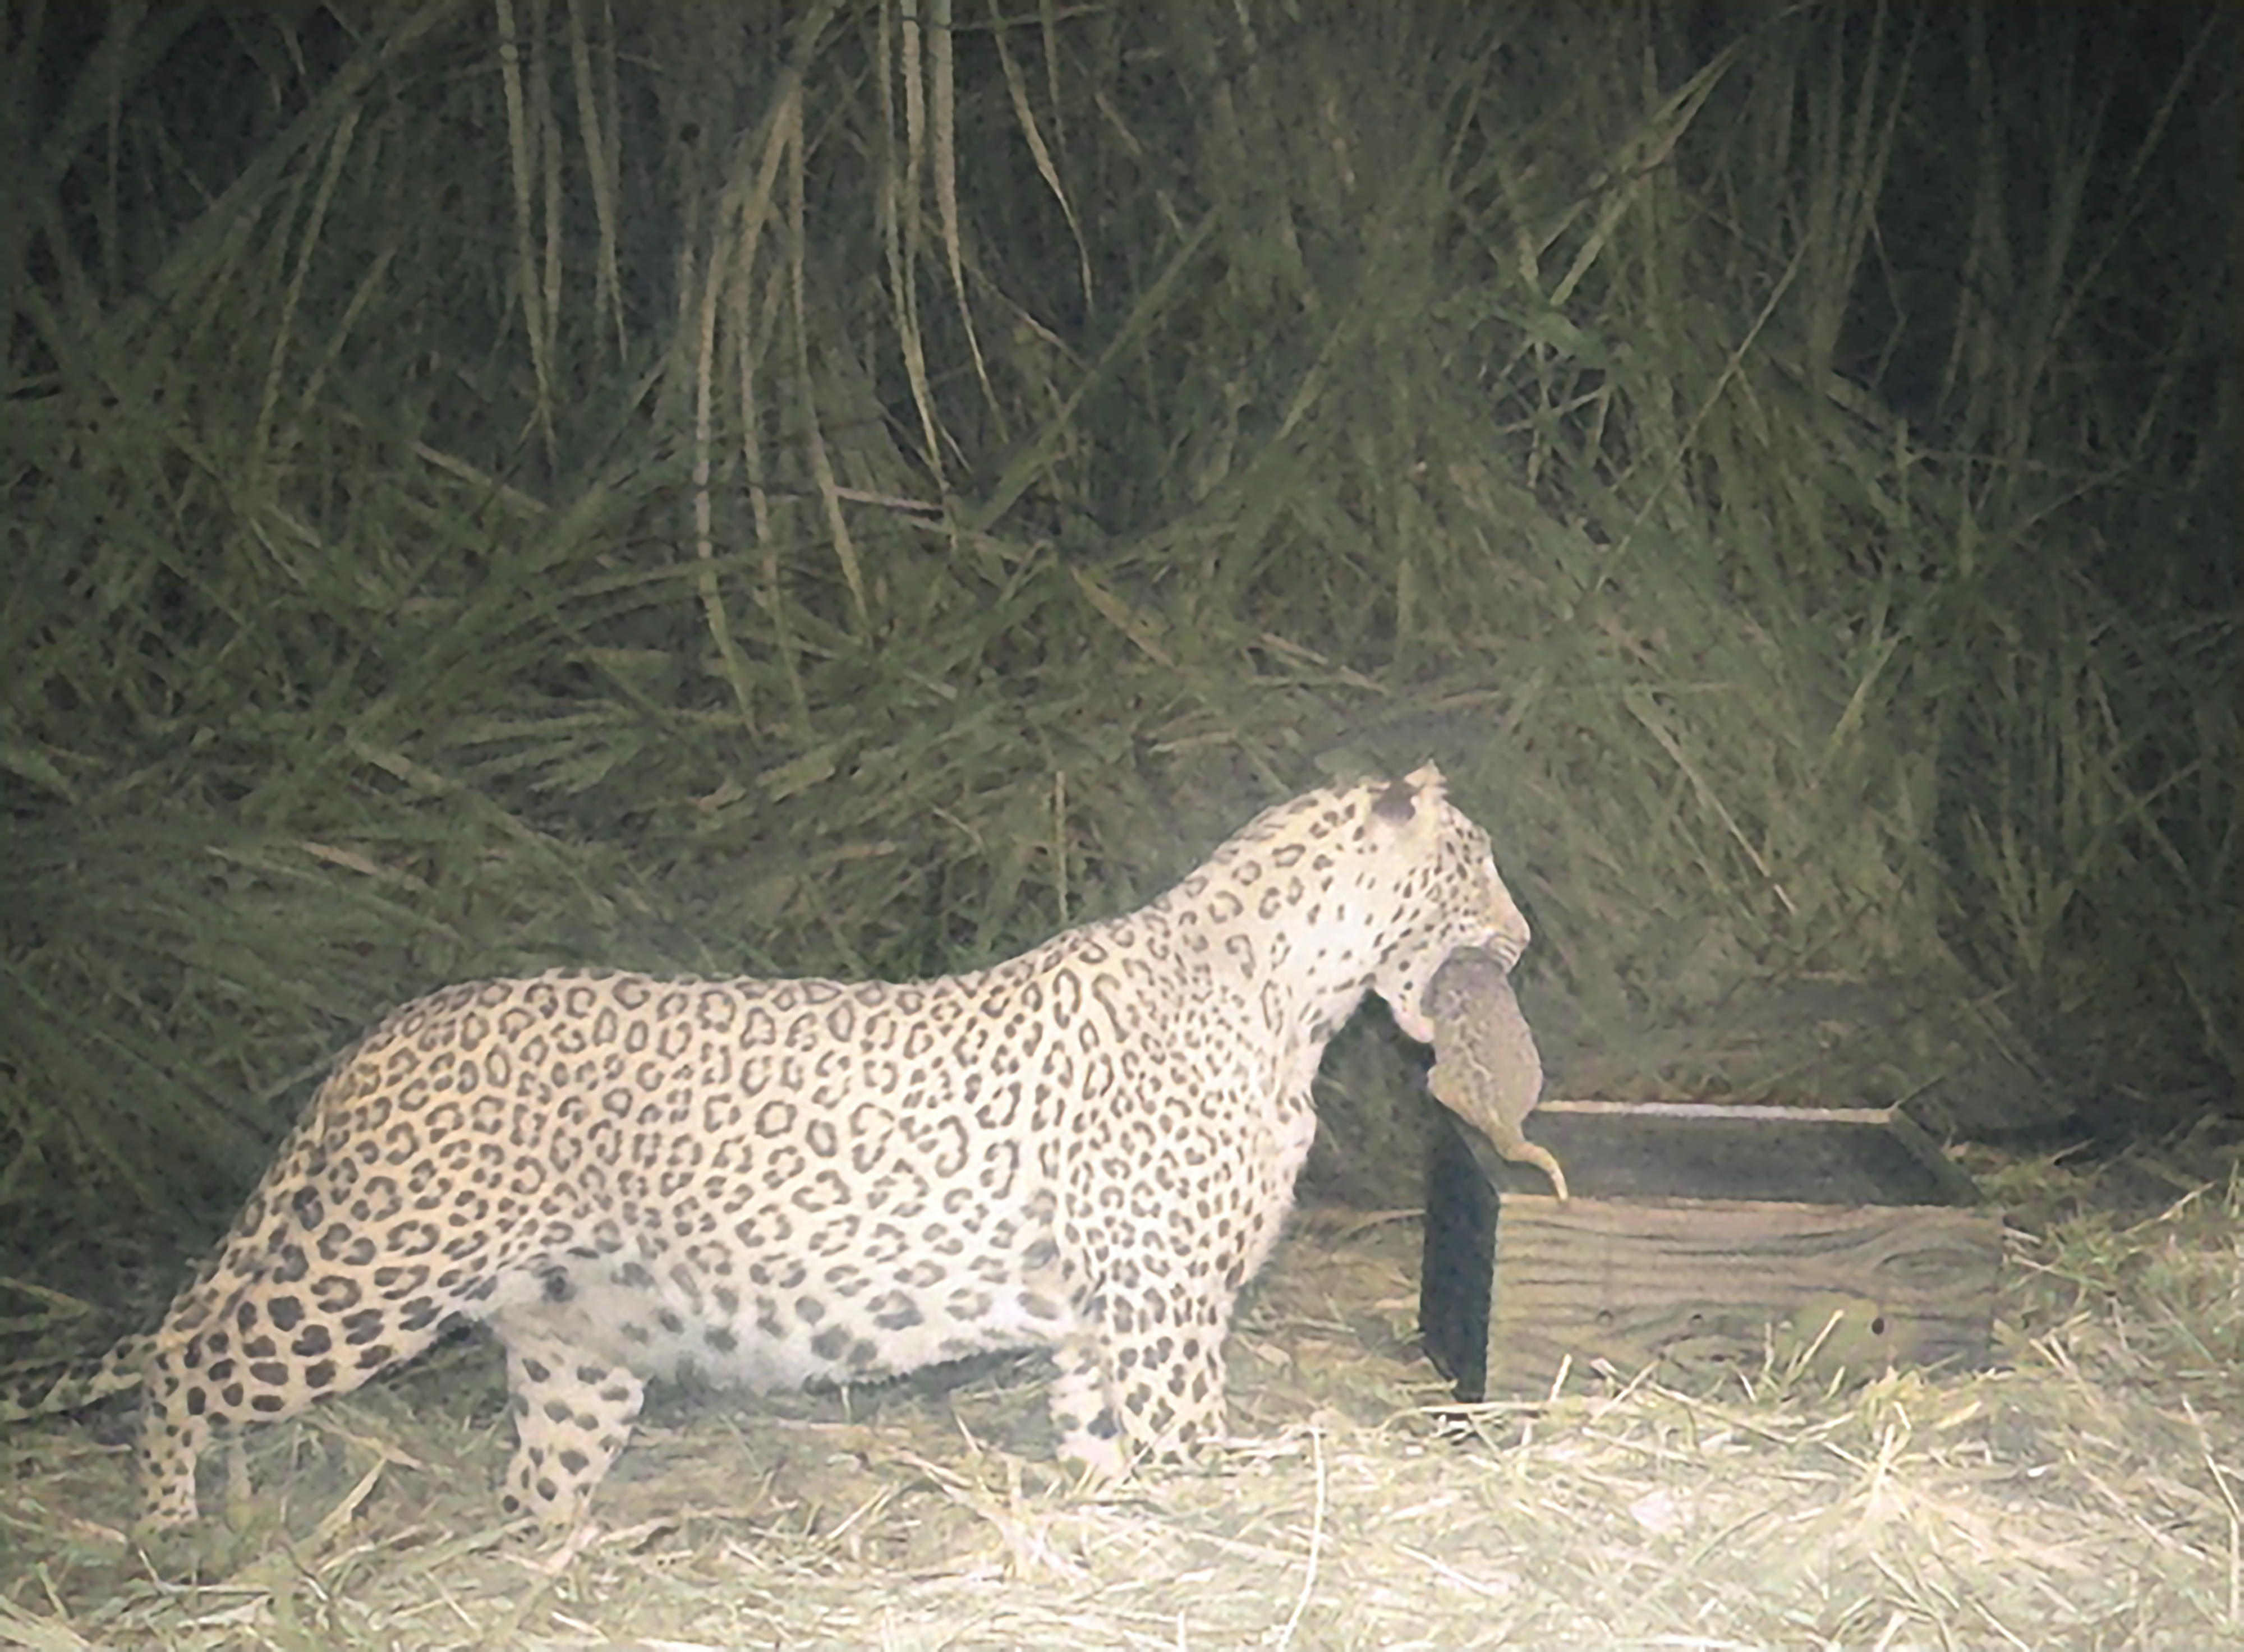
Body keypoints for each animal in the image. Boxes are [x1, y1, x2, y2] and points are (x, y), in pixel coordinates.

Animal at [3, 764, 1529, 1534]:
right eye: (1477, 863)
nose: (1520, 939)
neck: (1298, 995)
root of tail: (387, 1030)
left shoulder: (1106, 1318)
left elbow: (1105, 1443)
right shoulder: (1161, 1309)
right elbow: (1192, 1438)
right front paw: (1227, 1503)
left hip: (574, 1345)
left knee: (532, 1476)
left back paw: (557, 1564)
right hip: (373, 1271)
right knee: (183, 1359)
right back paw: (167, 1529)